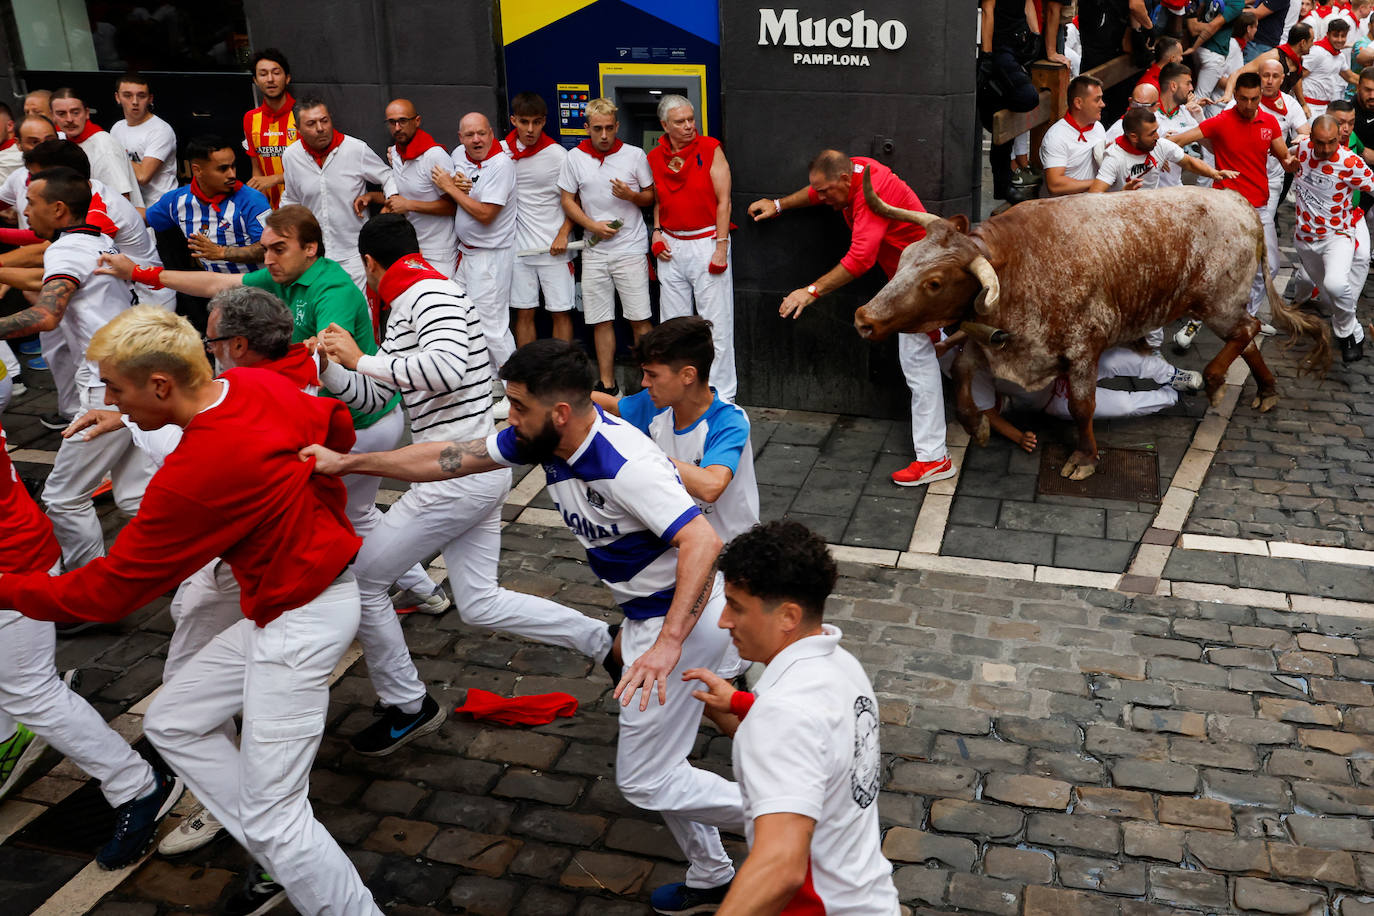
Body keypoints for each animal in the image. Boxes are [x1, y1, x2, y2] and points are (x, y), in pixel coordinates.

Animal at [851, 177, 1324, 480]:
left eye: (934, 282)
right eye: (905, 256)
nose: (863, 319)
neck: (1015, 265)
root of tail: (1240, 205)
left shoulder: (1081, 350)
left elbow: (1082, 406)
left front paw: (1085, 457)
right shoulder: (993, 344)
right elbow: (965, 378)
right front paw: (977, 426)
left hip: (1218, 303)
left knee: (1247, 329)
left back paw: (1215, 380)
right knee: (1247, 336)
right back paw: (1266, 390)